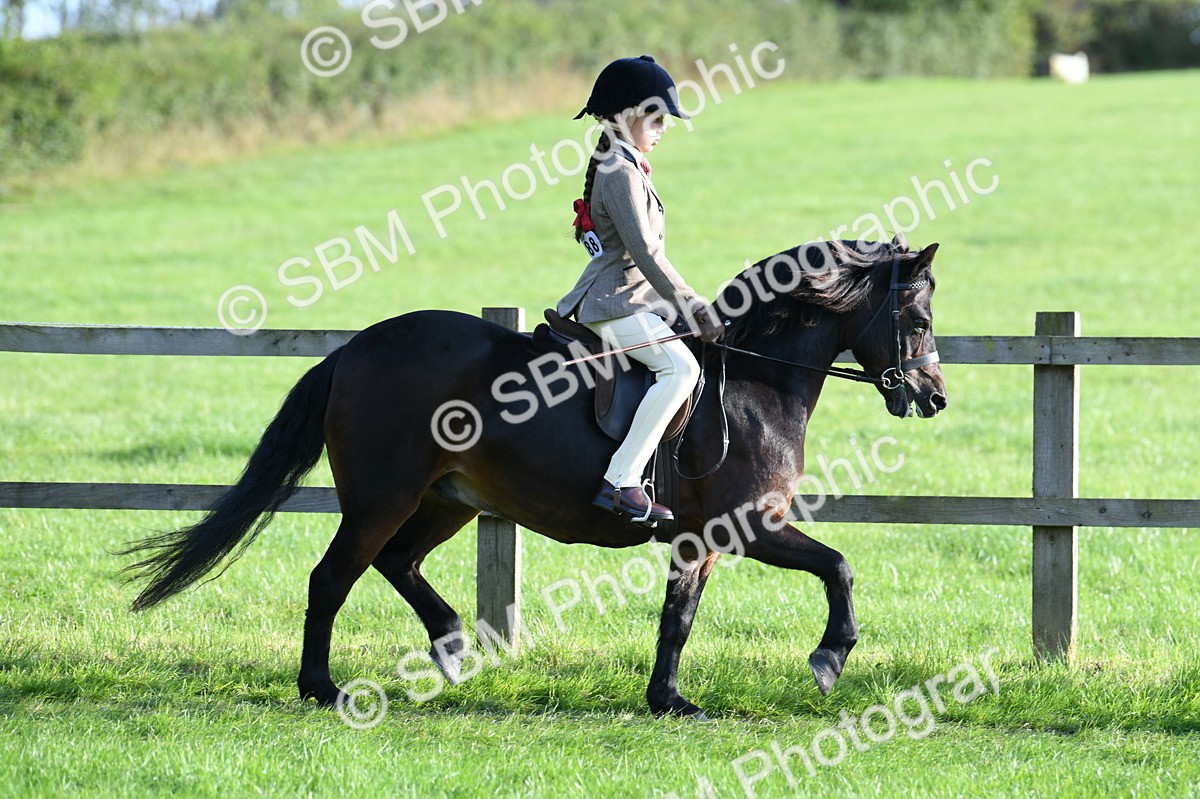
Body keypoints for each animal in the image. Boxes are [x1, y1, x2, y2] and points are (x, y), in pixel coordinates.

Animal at [119, 236, 946, 720]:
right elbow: (838, 567)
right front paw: (829, 659)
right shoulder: (746, 525)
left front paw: (667, 697)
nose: (933, 396)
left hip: (446, 498)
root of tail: (354, 348)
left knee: (399, 562)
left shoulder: (699, 541)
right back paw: (320, 686)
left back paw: (451, 645)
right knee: (333, 577)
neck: (753, 381)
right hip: (383, 497)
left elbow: (678, 616)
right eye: (918, 316)